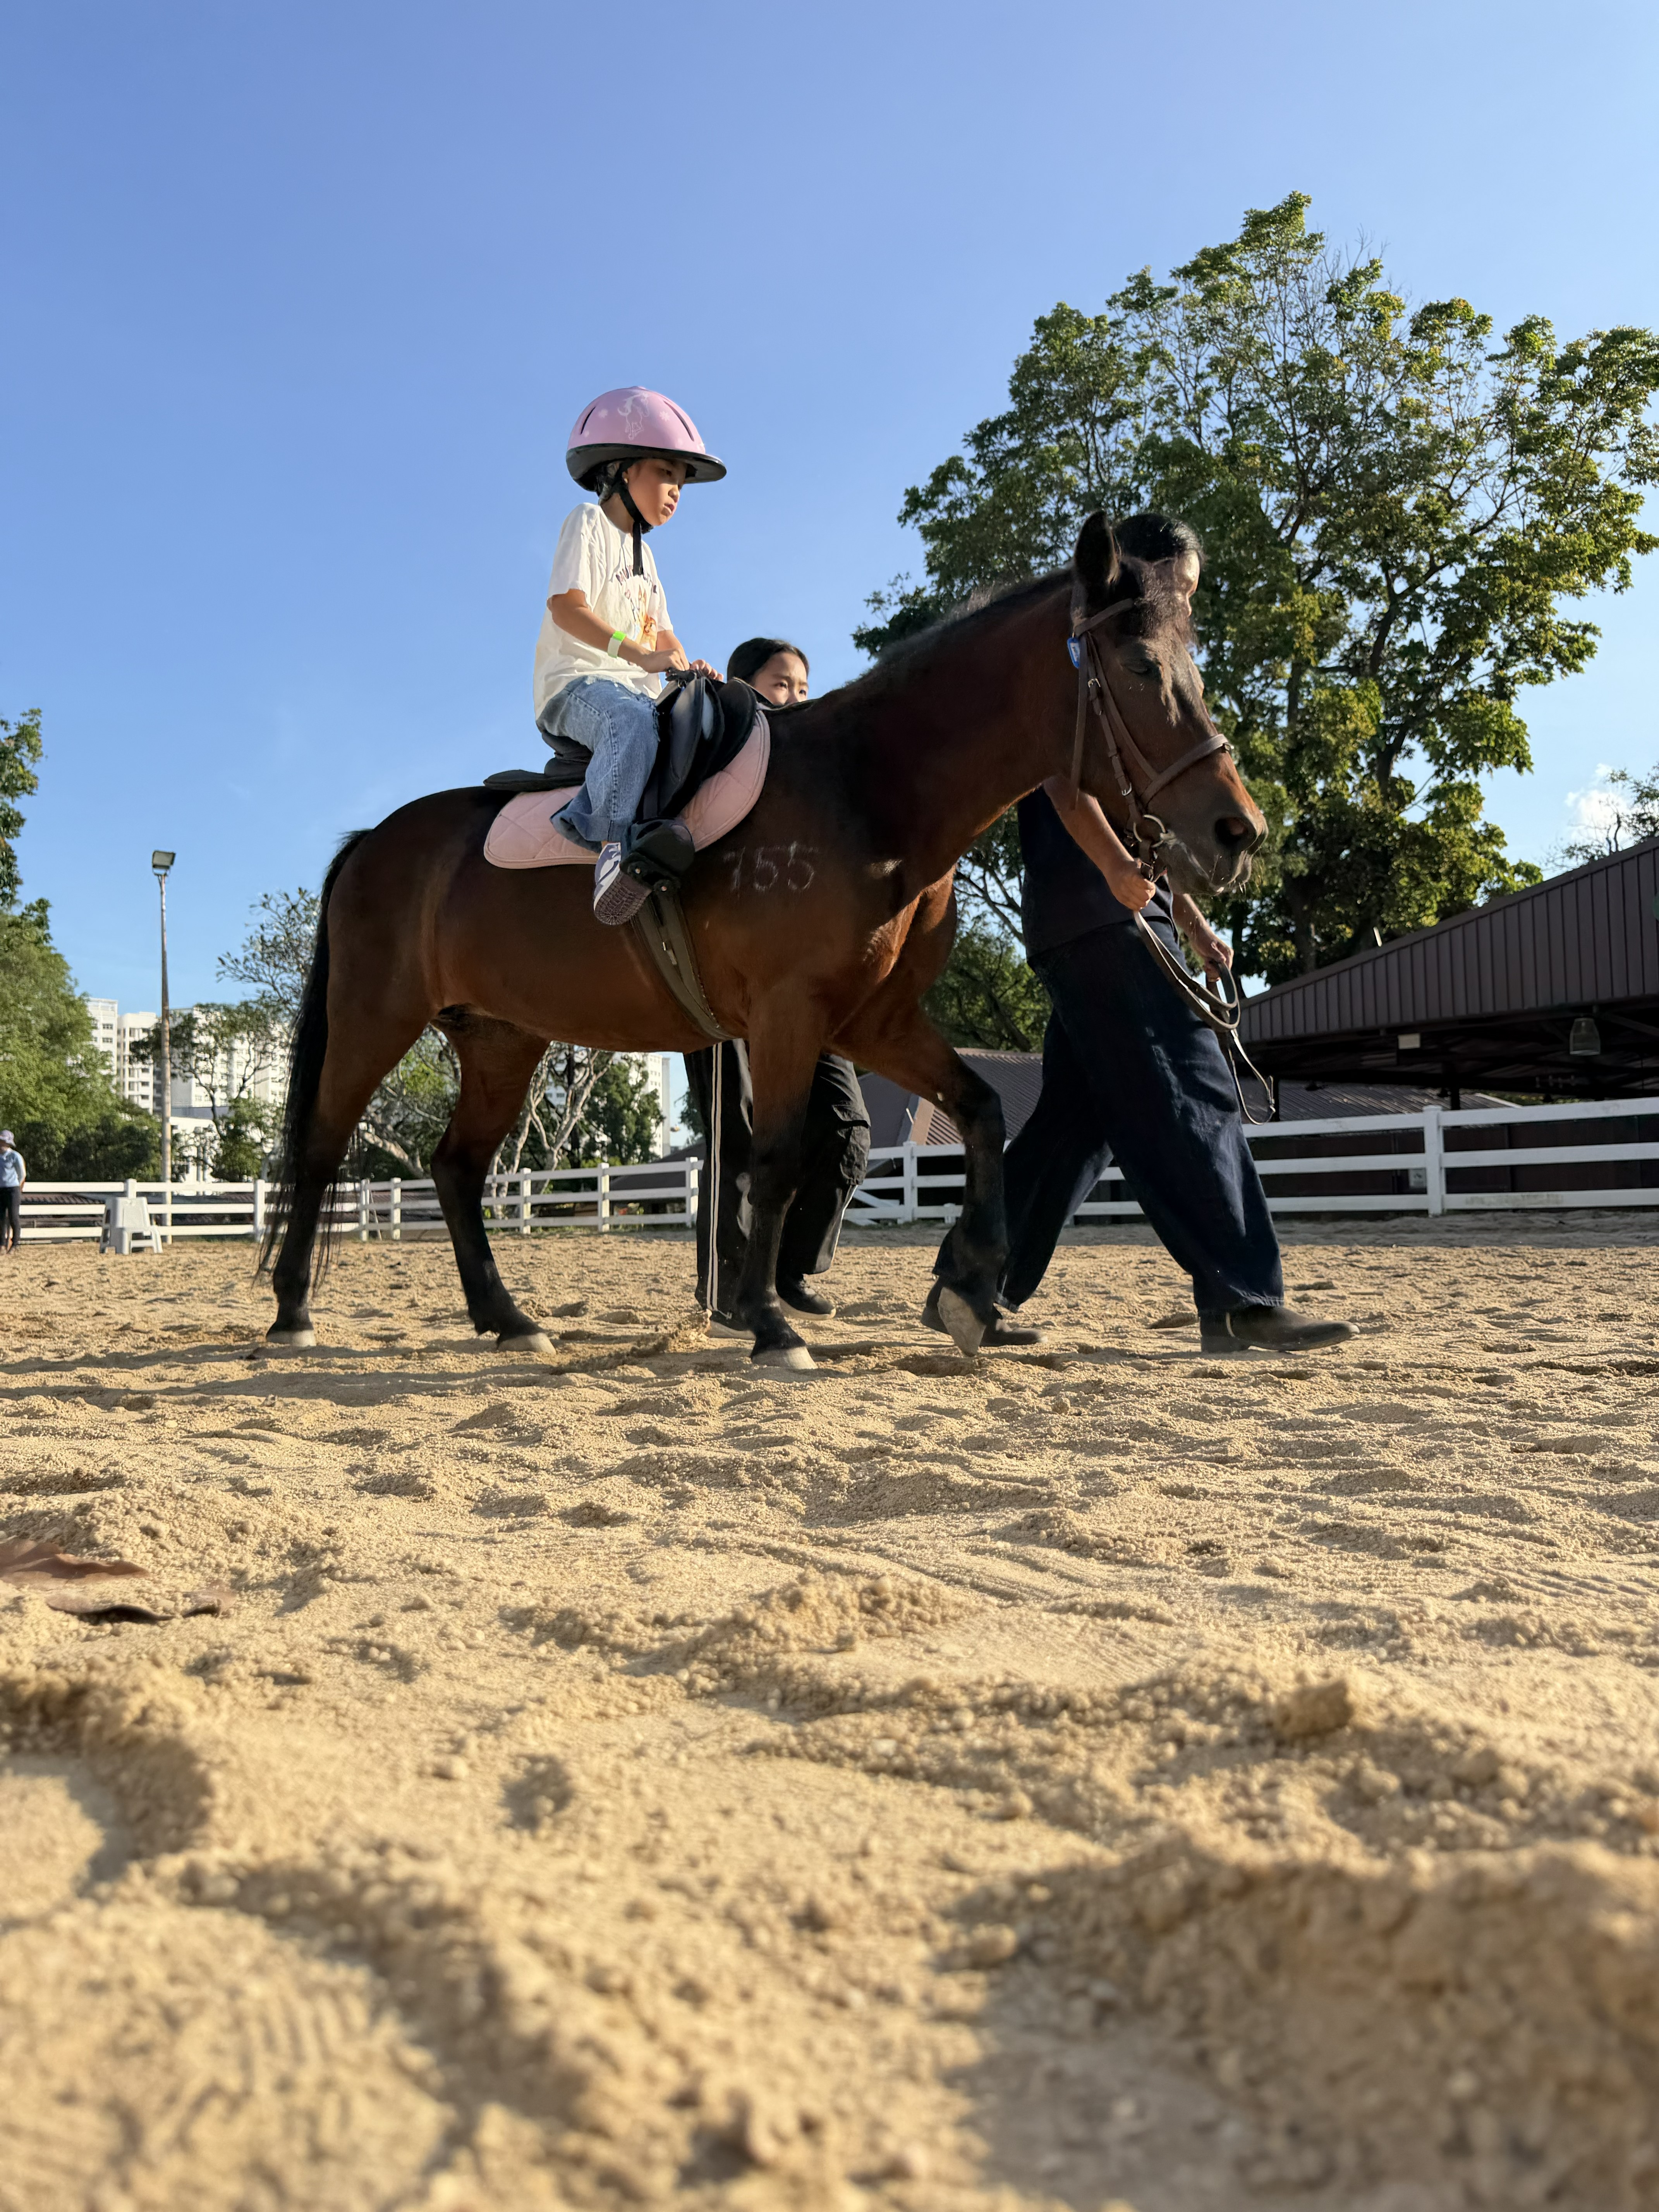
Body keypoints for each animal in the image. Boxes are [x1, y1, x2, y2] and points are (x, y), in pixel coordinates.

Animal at [263, 511, 1265, 1368]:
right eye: (1140, 665)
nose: (1238, 832)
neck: (864, 792)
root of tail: (374, 842)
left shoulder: (872, 1021)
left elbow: (980, 1109)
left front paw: (972, 1292)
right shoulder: (791, 1016)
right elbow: (777, 1160)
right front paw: (770, 1323)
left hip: (503, 1041)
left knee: (458, 1170)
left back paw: (508, 1320)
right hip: (374, 1020)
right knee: (321, 1151)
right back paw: (293, 1315)